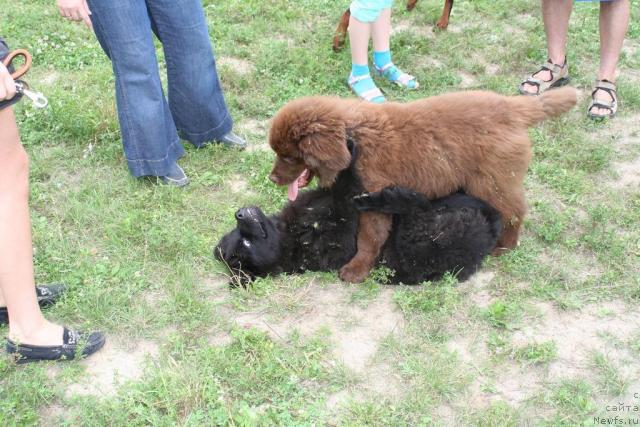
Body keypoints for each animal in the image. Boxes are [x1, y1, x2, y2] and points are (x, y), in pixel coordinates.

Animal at [215, 164, 500, 288]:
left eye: (240, 236)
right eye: (246, 242)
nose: (239, 214)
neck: (291, 237)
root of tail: (486, 238)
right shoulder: (344, 220)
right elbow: (347, 185)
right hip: (419, 236)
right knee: (417, 207)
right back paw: (387, 197)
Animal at [268, 88, 576, 282]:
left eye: (288, 156)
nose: (272, 178)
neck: (353, 133)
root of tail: (513, 107)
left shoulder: (373, 197)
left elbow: (369, 238)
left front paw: (356, 269)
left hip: (494, 181)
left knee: (514, 212)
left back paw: (505, 246)